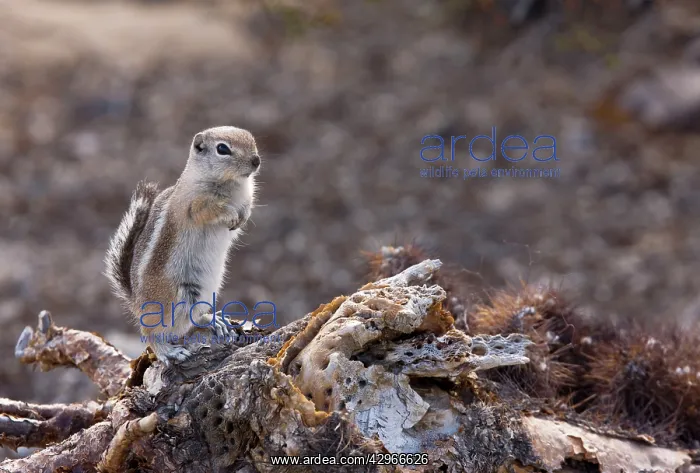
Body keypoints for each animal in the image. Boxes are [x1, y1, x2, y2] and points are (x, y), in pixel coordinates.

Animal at [104, 126, 261, 362]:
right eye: (222, 149)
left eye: (252, 139)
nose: (256, 160)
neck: (233, 183)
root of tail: (135, 303)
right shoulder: (195, 205)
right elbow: (211, 210)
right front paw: (232, 215)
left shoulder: (246, 197)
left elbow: (246, 207)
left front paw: (242, 217)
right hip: (173, 300)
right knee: (151, 333)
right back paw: (168, 351)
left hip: (203, 294)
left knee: (190, 321)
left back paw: (214, 320)